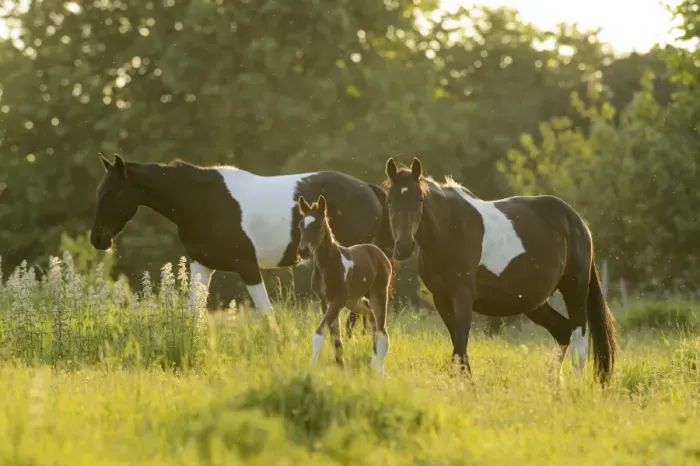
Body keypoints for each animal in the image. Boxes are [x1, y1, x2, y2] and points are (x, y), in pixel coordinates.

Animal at [90, 154, 394, 325]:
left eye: (112, 193)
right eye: (99, 191)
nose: (97, 239)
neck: (200, 200)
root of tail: (369, 190)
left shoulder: (248, 267)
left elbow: (267, 314)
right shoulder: (202, 265)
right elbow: (194, 312)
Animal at [297, 194, 392, 376]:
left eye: (319, 226)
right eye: (301, 226)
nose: (303, 251)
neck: (328, 263)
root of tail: (378, 252)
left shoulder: (337, 299)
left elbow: (320, 334)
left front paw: (308, 373)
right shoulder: (325, 301)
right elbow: (336, 339)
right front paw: (341, 371)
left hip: (378, 294)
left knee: (383, 332)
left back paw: (380, 372)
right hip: (353, 301)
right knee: (371, 318)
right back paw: (373, 364)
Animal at [382, 157, 619, 385]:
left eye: (419, 199)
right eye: (389, 201)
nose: (403, 247)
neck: (451, 229)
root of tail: (577, 221)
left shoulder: (463, 298)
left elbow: (460, 349)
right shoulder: (441, 299)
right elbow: (459, 350)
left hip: (575, 291)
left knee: (579, 342)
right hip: (534, 302)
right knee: (562, 331)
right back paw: (551, 385)